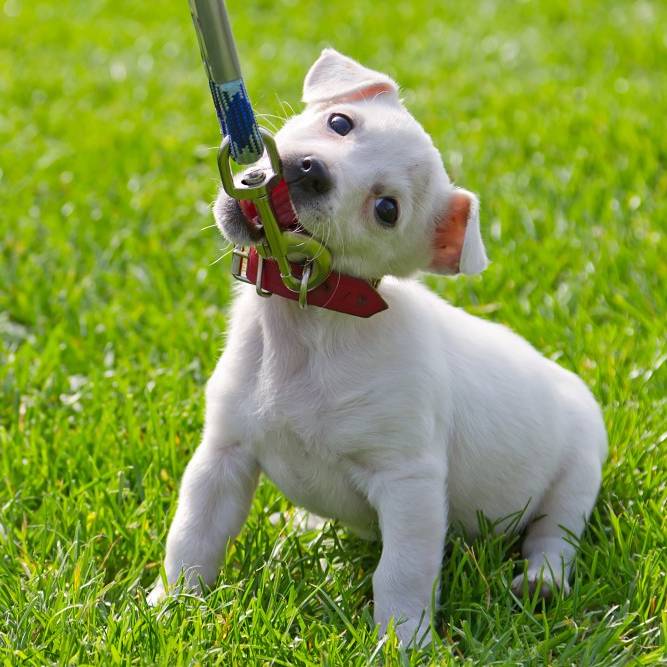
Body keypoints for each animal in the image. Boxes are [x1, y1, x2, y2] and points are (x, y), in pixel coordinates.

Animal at [149, 48, 608, 648]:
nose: (309, 170)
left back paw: (541, 581)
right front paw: (168, 608)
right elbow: (193, 536)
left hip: (576, 477)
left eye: (386, 210)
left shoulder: (408, 483)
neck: (308, 327)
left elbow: (402, 571)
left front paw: (403, 641)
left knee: (554, 535)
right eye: (340, 122)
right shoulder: (222, 457)